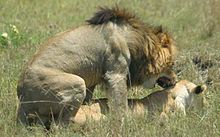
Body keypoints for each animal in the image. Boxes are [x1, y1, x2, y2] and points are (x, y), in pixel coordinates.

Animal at [16, 6, 176, 128]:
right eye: (172, 64)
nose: (175, 80)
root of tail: (22, 98)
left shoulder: (92, 81)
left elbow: (89, 100)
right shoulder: (116, 74)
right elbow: (120, 102)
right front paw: (126, 123)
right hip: (76, 83)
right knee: (59, 126)